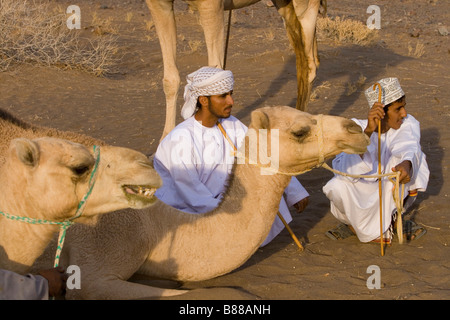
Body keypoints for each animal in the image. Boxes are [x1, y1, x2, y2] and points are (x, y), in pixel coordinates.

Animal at [147, 0, 324, 139]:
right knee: (304, 59)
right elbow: (170, 79)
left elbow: (216, 70)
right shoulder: (159, 4)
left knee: (308, 65)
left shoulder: (211, 5)